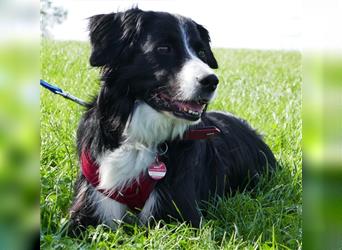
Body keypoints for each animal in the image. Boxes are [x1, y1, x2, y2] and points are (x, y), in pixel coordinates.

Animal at [68, 7, 276, 234]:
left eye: (201, 53)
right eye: (164, 48)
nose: (212, 81)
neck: (141, 139)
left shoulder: (180, 214)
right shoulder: (90, 204)